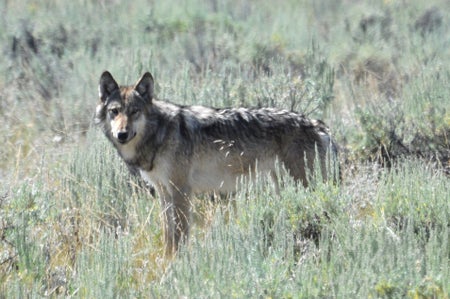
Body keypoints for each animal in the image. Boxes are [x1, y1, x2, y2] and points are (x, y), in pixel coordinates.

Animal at [96, 71, 340, 255]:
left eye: (134, 112)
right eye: (115, 112)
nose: (122, 134)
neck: (160, 133)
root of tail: (318, 125)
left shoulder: (181, 191)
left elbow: (180, 235)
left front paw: (177, 264)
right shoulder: (164, 192)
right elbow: (168, 235)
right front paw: (166, 259)